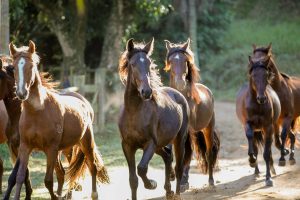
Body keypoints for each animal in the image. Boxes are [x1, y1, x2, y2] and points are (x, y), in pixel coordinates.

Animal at [6, 41, 109, 200]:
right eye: (14, 67)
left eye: (31, 66)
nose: (21, 93)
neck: (37, 111)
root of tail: (84, 102)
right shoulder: (25, 147)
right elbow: (20, 177)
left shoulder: (51, 148)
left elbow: (48, 181)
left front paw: (56, 196)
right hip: (65, 149)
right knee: (62, 173)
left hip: (85, 143)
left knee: (92, 166)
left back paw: (93, 194)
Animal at [118, 38, 189, 200]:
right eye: (133, 64)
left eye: (149, 63)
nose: (146, 92)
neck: (134, 112)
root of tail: (177, 93)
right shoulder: (127, 146)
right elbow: (133, 180)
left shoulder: (149, 143)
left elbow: (142, 168)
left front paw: (151, 184)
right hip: (159, 146)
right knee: (168, 156)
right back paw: (168, 191)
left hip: (178, 140)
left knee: (178, 166)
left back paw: (176, 193)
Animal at [164, 38, 220, 189]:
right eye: (171, 61)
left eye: (185, 60)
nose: (180, 83)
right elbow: (170, 150)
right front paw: (172, 175)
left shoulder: (187, 130)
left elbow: (186, 153)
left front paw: (183, 181)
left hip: (207, 128)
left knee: (208, 153)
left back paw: (210, 180)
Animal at [237, 54, 282, 186]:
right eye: (253, 75)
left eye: (266, 75)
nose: (261, 98)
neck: (257, 105)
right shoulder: (248, 124)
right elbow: (251, 140)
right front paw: (251, 160)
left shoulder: (268, 127)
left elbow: (266, 153)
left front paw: (268, 178)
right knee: (255, 145)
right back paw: (255, 169)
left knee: (268, 149)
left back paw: (271, 168)